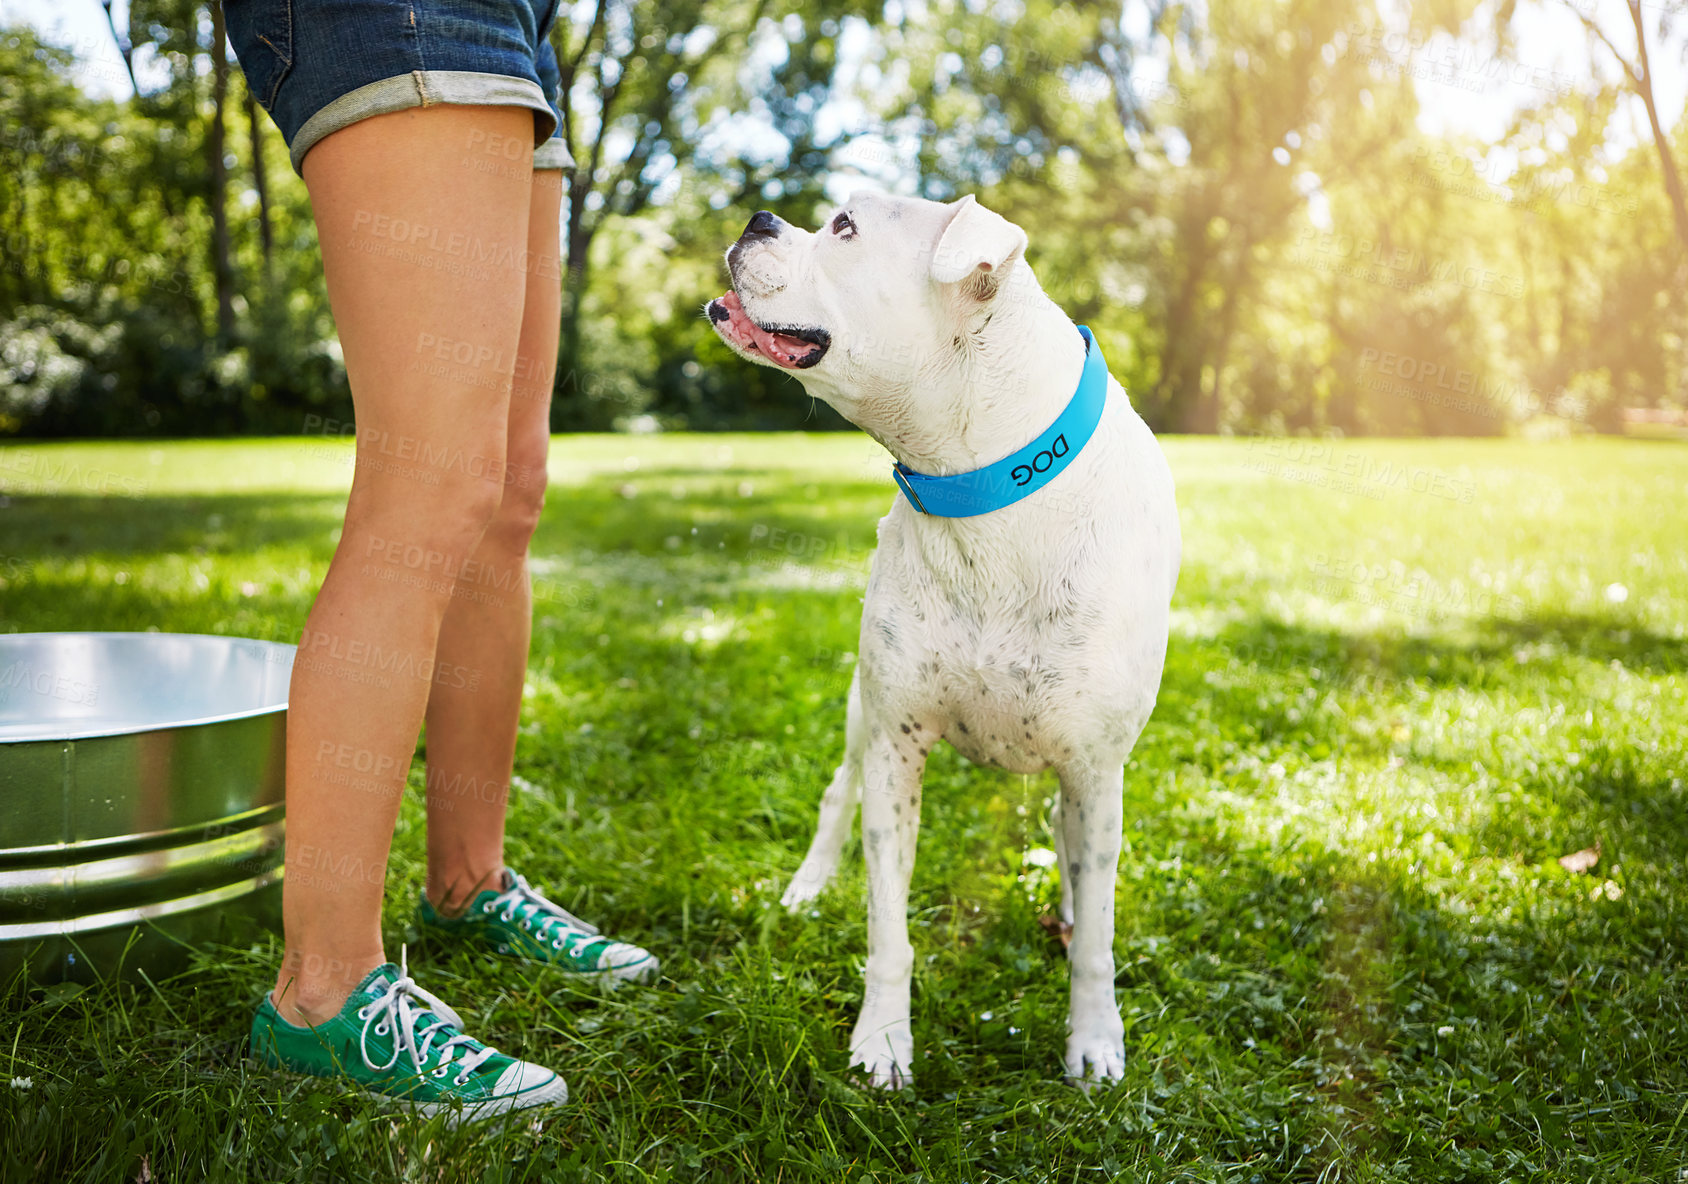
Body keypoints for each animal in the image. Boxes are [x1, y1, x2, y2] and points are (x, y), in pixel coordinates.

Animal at [705, 194, 1181, 1087]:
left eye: (845, 227)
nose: (758, 219)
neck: (982, 489)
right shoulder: (895, 743)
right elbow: (888, 923)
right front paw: (883, 1039)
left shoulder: (1096, 769)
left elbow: (1099, 932)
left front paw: (1095, 1038)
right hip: (861, 717)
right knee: (837, 793)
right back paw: (808, 886)